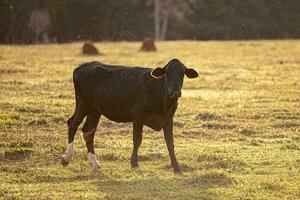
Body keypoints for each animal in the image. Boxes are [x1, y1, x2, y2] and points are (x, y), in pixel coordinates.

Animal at [61, 58, 198, 173]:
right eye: (167, 74)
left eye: (182, 74)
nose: (175, 92)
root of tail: (83, 66)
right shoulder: (138, 117)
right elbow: (137, 140)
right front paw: (134, 163)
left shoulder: (168, 119)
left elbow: (170, 143)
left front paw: (176, 167)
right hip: (83, 104)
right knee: (72, 124)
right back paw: (66, 158)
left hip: (95, 110)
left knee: (88, 131)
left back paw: (95, 163)